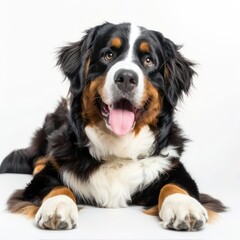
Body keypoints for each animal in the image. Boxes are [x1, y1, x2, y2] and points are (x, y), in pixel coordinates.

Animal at [0, 22, 225, 231]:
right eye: (108, 55)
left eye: (149, 60)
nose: (126, 77)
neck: (118, 150)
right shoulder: (48, 174)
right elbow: (55, 186)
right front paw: (57, 206)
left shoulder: (173, 166)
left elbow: (175, 186)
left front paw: (184, 207)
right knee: (38, 158)